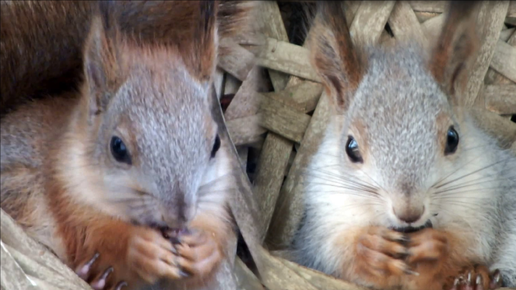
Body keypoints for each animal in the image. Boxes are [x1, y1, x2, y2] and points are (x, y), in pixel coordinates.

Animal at [0, 0, 250, 290]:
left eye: (216, 143)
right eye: (117, 147)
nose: (179, 216)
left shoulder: (213, 206)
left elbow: (213, 249)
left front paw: (204, 250)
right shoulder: (69, 201)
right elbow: (100, 241)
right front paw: (140, 248)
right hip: (18, 188)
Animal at [292, 2, 516, 290]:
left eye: (453, 138)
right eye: (350, 148)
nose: (409, 212)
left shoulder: (484, 201)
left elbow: (464, 246)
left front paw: (434, 247)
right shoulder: (323, 221)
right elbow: (337, 255)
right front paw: (371, 248)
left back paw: (477, 279)